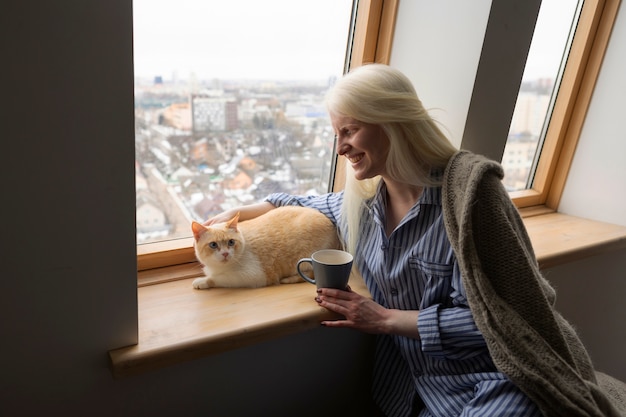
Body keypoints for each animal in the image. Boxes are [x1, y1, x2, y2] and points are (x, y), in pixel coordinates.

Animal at [189, 206, 338, 290]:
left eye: (231, 242)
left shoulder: (253, 276)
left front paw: (202, 281)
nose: (225, 254)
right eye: (213, 245)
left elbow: (216, 279)